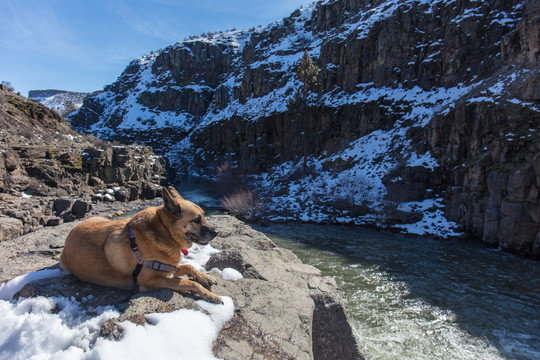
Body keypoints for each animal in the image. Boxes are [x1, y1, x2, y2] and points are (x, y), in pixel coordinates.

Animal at [61, 186, 224, 304]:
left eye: (204, 215)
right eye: (196, 220)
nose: (216, 232)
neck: (165, 231)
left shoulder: (168, 268)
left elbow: (188, 266)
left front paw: (204, 277)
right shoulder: (151, 281)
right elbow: (188, 283)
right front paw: (211, 295)